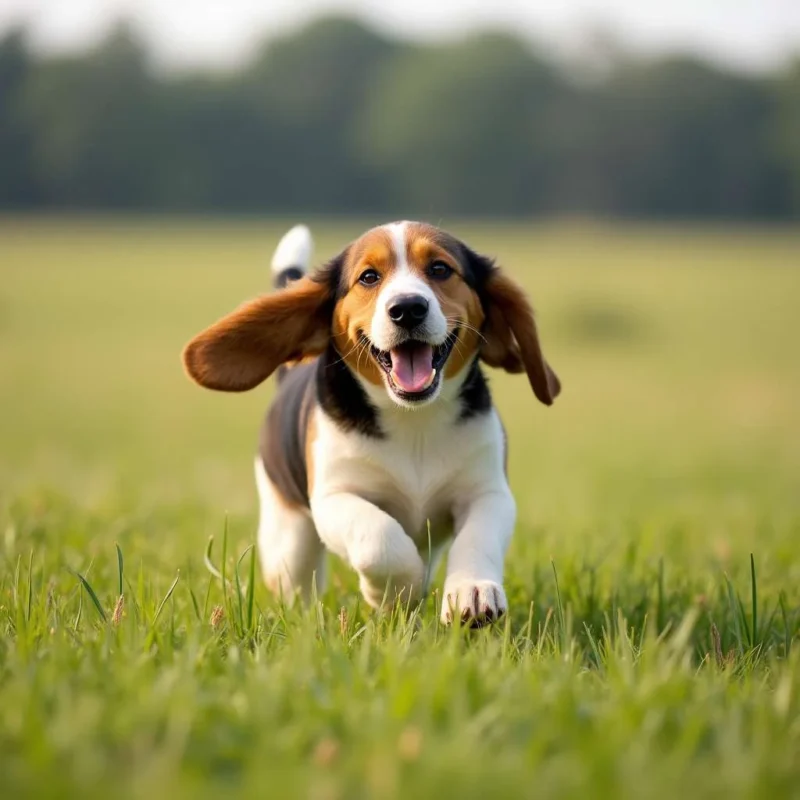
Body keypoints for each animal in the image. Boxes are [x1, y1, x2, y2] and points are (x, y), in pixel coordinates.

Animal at [182, 222, 560, 628]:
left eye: (440, 269)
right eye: (369, 277)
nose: (407, 308)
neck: (413, 421)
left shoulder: (489, 492)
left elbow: (477, 538)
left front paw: (470, 592)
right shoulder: (333, 498)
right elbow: (379, 537)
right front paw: (395, 592)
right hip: (288, 540)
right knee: (298, 585)